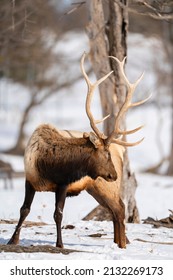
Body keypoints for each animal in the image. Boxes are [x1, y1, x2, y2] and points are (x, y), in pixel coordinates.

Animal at [7, 53, 149, 249]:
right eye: (105, 155)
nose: (113, 175)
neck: (46, 166)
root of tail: (120, 149)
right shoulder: (30, 179)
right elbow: (24, 210)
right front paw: (12, 240)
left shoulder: (63, 183)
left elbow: (58, 213)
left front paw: (59, 244)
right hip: (96, 187)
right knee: (114, 211)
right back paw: (118, 242)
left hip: (106, 186)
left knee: (120, 208)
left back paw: (121, 245)